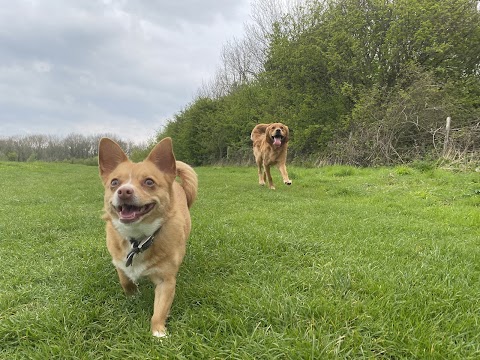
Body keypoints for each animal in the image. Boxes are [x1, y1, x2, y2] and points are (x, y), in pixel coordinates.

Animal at [97, 137, 197, 338]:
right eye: (114, 182)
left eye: (149, 182)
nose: (124, 191)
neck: (138, 238)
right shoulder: (118, 262)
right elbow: (125, 279)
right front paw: (133, 294)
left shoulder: (166, 281)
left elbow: (160, 310)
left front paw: (158, 332)